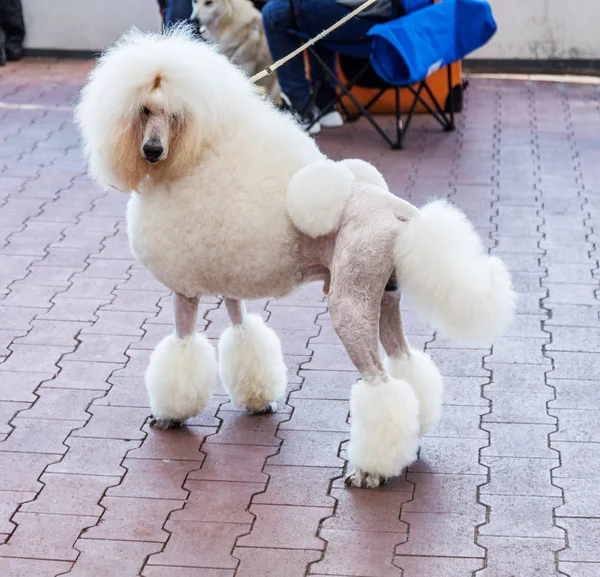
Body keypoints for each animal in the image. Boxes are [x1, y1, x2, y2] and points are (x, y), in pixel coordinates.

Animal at [75, 27, 516, 486]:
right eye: (144, 110)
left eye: (174, 115)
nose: (152, 150)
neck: (194, 156)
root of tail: (398, 212)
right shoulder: (232, 286)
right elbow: (244, 334)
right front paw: (257, 399)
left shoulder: (186, 291)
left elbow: (182, 346)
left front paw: (171, 414)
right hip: (384, 299)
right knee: (406, 364)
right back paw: (413, 437)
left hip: (349, 304)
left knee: (380, 384)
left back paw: (370, 471)